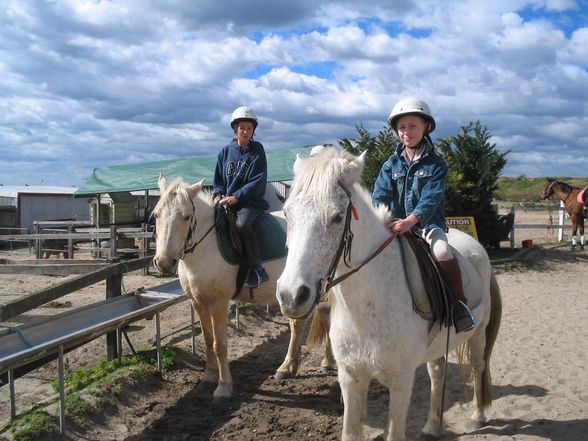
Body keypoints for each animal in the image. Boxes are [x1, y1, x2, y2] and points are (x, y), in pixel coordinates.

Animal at [154, 174, 334, 402]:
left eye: (186, 217)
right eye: (156, 215)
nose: (164, 262)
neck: (206, 247)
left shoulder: (219, 304)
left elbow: (220, 345)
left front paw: (224, 387)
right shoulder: (198, 303)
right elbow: (208, 339)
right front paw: (208, 377)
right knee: (312, 321)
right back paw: (302, 365)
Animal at [276, 149, 500, 440]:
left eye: (336, 217)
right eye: (287, 213)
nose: (291, 295)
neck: (368, 307)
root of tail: (476, 245)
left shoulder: (401, 379)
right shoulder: (350, 378)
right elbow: (350, 433)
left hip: (478, 333)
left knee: (477, 365)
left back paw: (477, 417)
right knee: (437, 372)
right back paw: (432, 426)